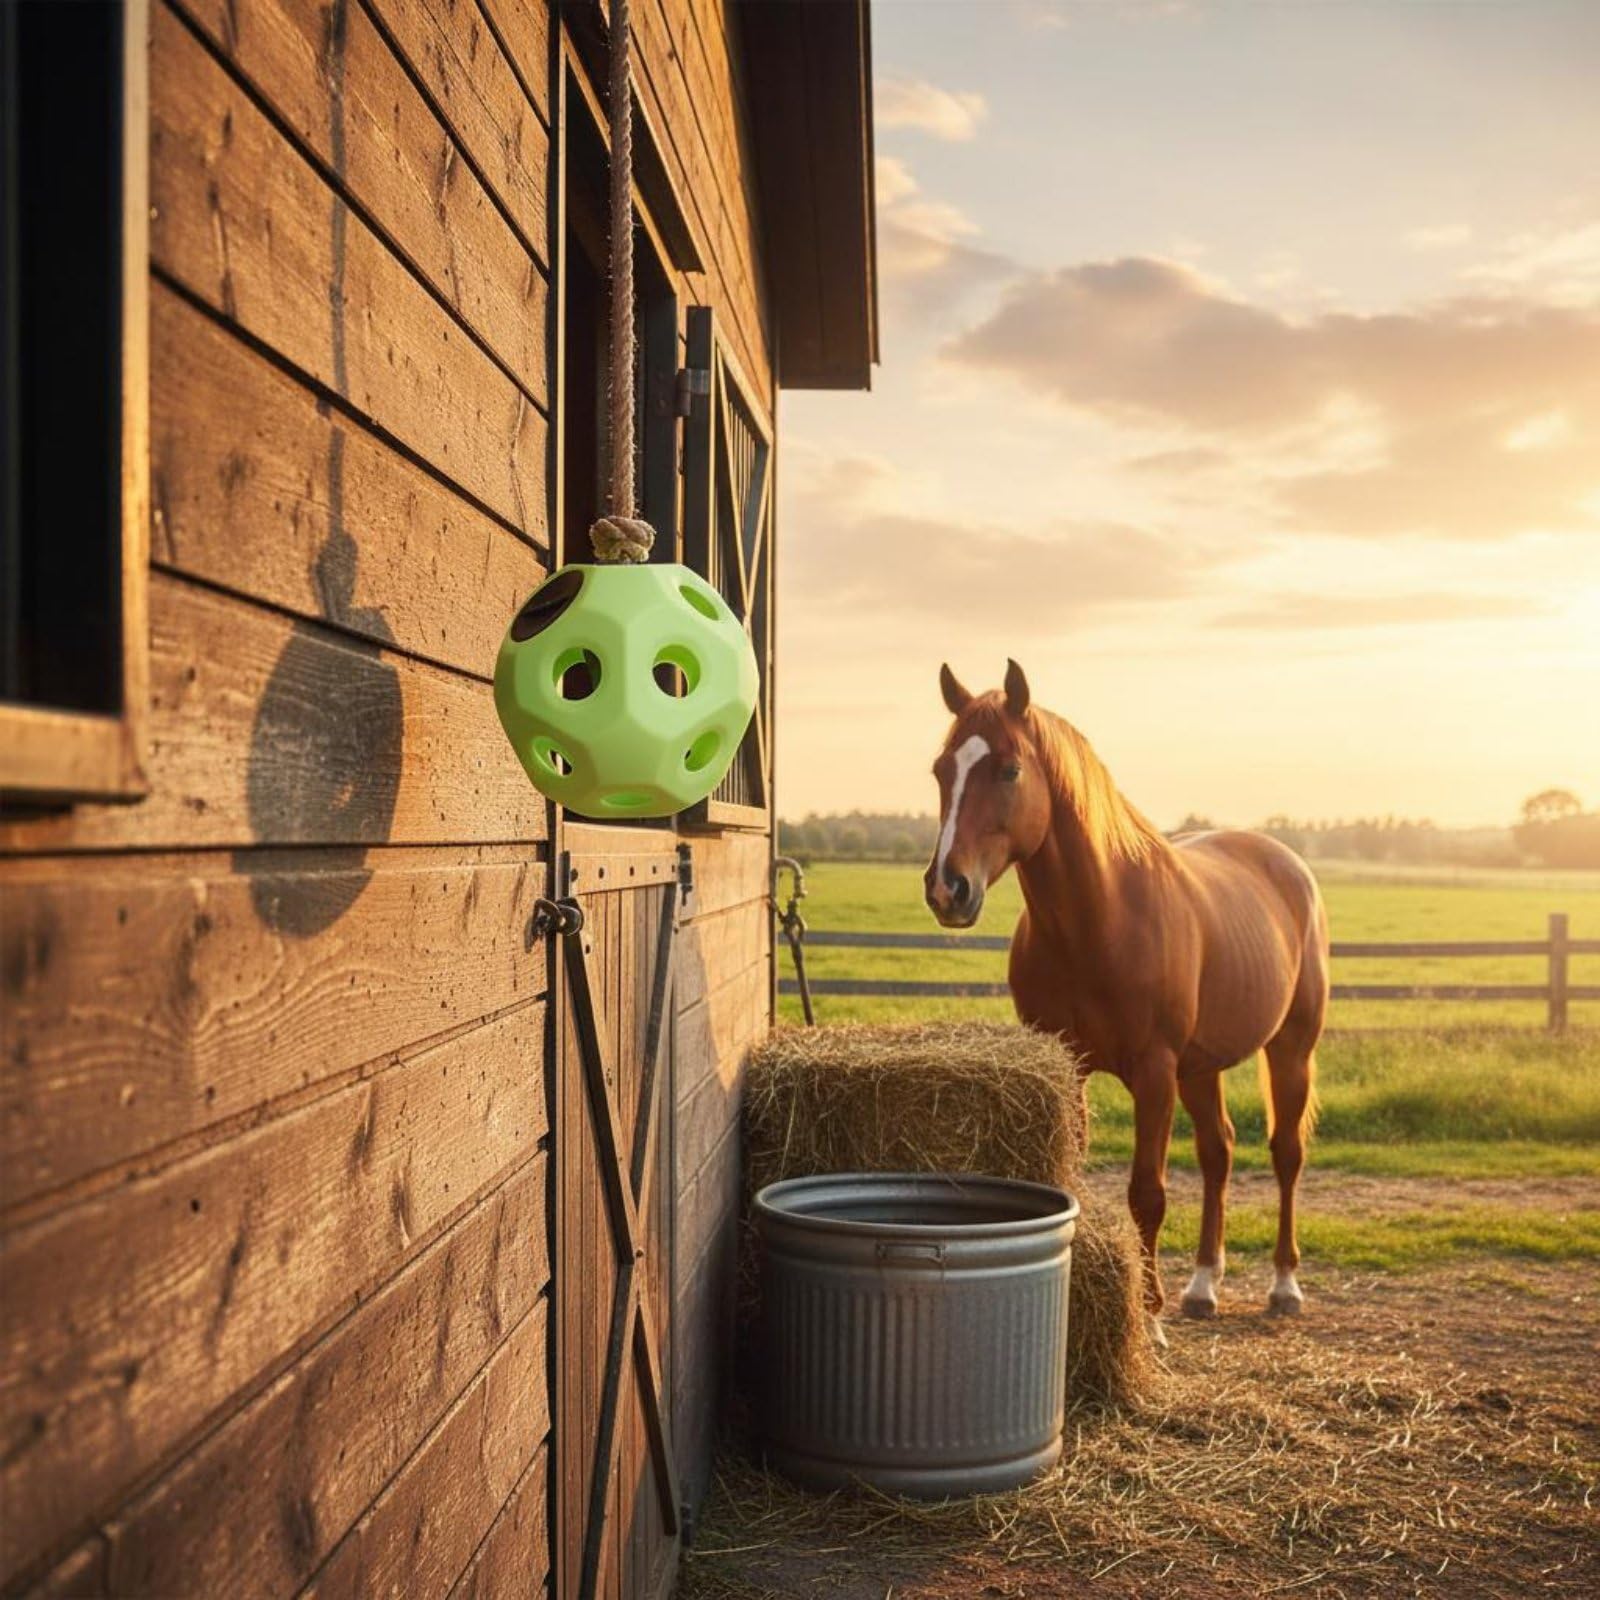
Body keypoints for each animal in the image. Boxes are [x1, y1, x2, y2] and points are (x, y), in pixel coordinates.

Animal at [924, 660, 1328, 1331]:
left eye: (1009, 769)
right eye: (941, 770)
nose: (946, 889)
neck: (1102, 921)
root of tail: (1287, 864)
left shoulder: (1154, 1072)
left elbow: (1148, 1192)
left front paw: (1149, 1316)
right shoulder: (1074, 1067)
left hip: (1290, 1049)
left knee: (1285, 1153)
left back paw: (1284, 1284)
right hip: (1202, 1067)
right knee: (1218, 1152)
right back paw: (1203, 1284)